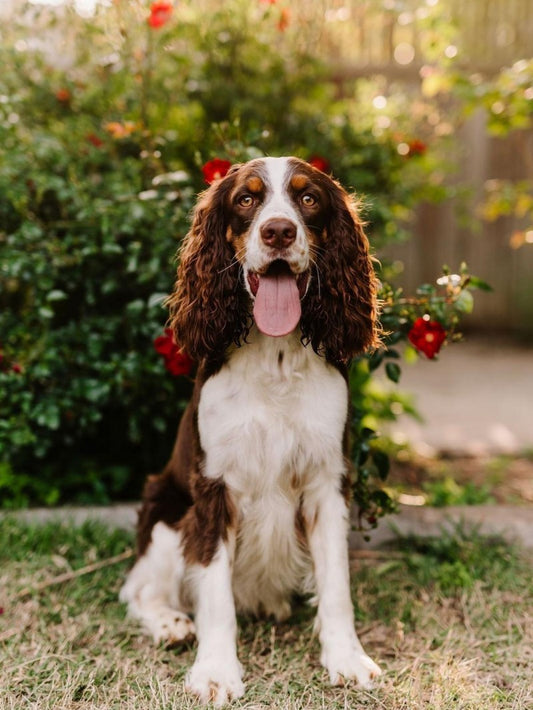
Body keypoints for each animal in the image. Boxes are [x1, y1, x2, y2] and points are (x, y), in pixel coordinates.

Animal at [119, 156, 382, 708]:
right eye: (246, 199)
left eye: (308, 198)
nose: (278, 231)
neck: (275, 357)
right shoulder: (213, 489)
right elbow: (215, 594)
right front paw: (216, 671)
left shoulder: (327, 483)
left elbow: (337, 585)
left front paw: (347, 659)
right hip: (166, 513)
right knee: (137, 589)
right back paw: (170, 624)